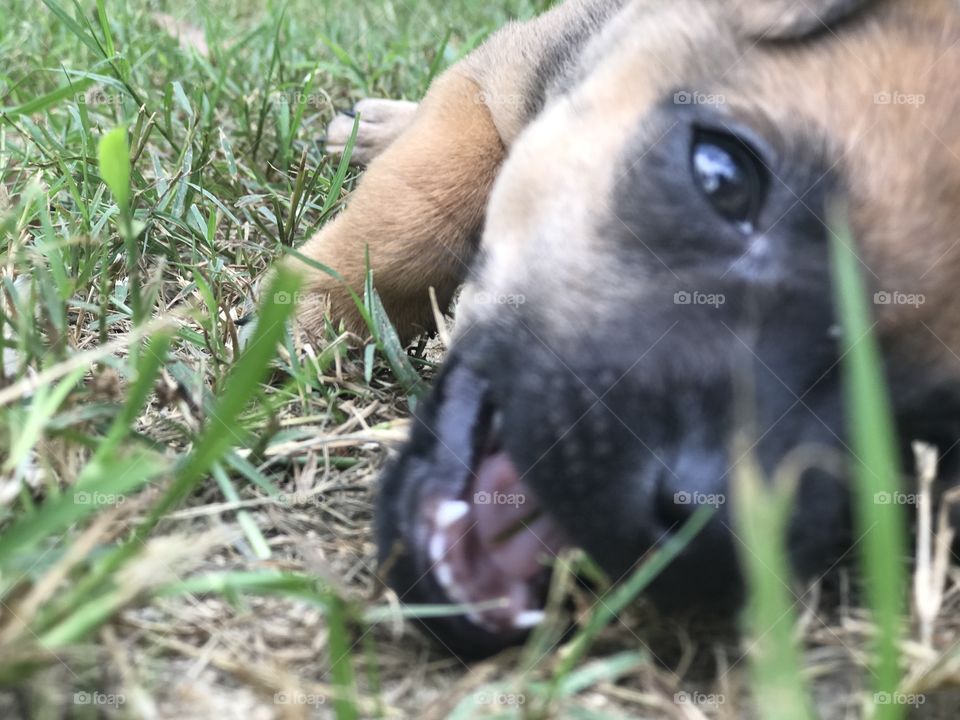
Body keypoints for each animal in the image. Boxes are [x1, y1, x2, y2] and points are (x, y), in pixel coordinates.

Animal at [284, 0, 960, 660]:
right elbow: (421, 203)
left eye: (936, 439)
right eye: (722, 175)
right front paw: (314, 307)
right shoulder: (503, 78)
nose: (712, 533)